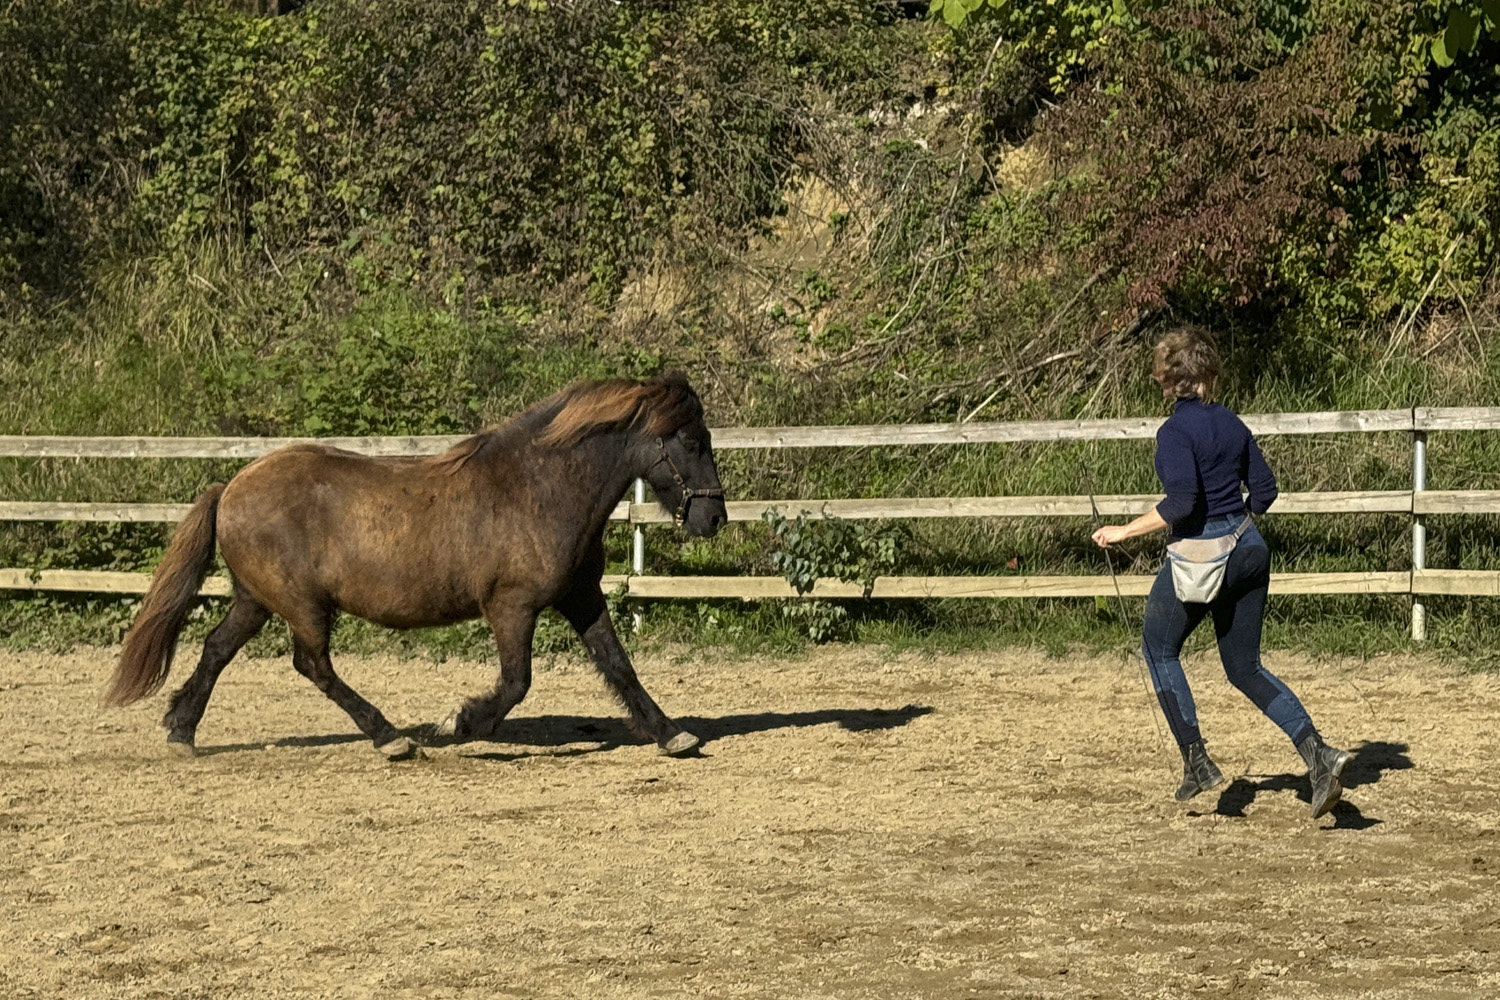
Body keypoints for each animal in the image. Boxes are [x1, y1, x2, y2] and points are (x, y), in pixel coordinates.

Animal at [103, 372, 728, 759]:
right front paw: (459, 724)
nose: (714, 518)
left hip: (257, 599)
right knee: (313, 665)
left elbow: (619, 666)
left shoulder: (580, 596)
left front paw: (672, 734)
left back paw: (182, 730)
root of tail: (230, 487)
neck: (539, 489)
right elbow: (516, 682)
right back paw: (391, 739)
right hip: (302, 605)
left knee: (217, 648)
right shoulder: (511, 605)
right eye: (691, 441)